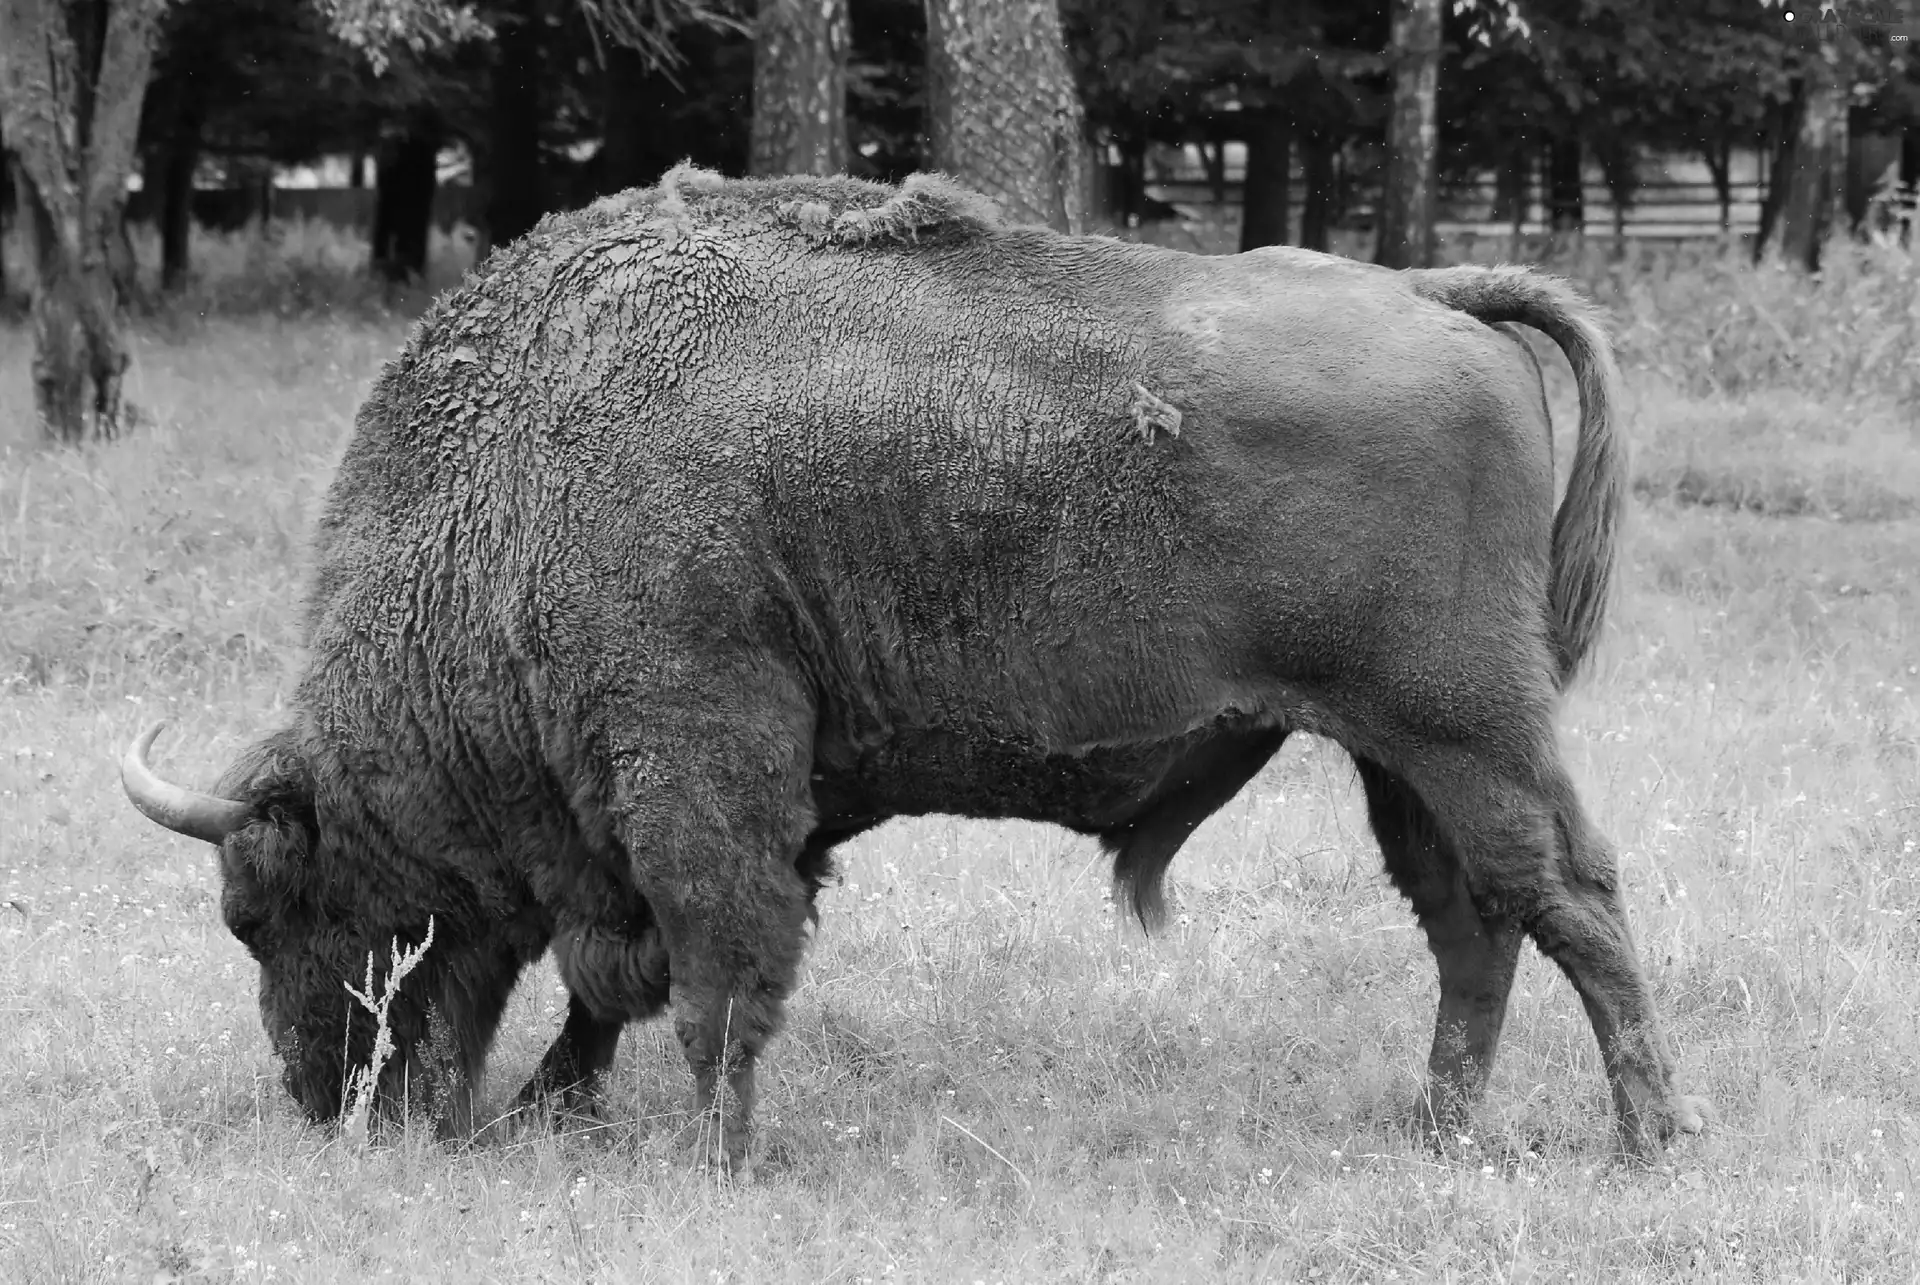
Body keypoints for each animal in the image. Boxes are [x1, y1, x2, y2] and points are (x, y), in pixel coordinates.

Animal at [123, 168, 1712, 1160]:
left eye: (266, 909)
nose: (329, 1102)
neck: (515, 482)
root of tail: (1441, 298)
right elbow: (619, 983)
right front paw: (557, 1110)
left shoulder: (698, 769)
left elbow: (711, 968)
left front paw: (715, 1153)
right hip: (1398, 756)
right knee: (1475, 922)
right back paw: (1446, 1128)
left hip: (1465, 727)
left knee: (1566, 894)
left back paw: (1646, 1137)